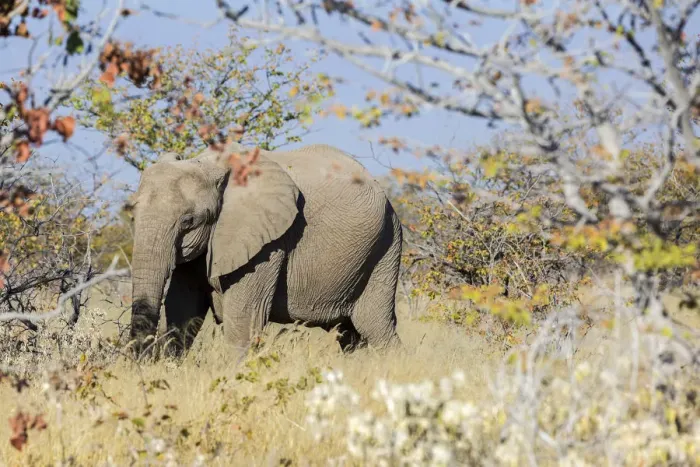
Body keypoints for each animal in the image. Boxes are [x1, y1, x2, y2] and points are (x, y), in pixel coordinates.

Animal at [128, 141, 403, 358]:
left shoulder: (267, 242)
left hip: (386, 247)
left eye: (188, 221)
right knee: (349, 333)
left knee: (375, 326)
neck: (210, 165)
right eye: (132, 214)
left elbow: (243, 322)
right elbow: (182, 308)